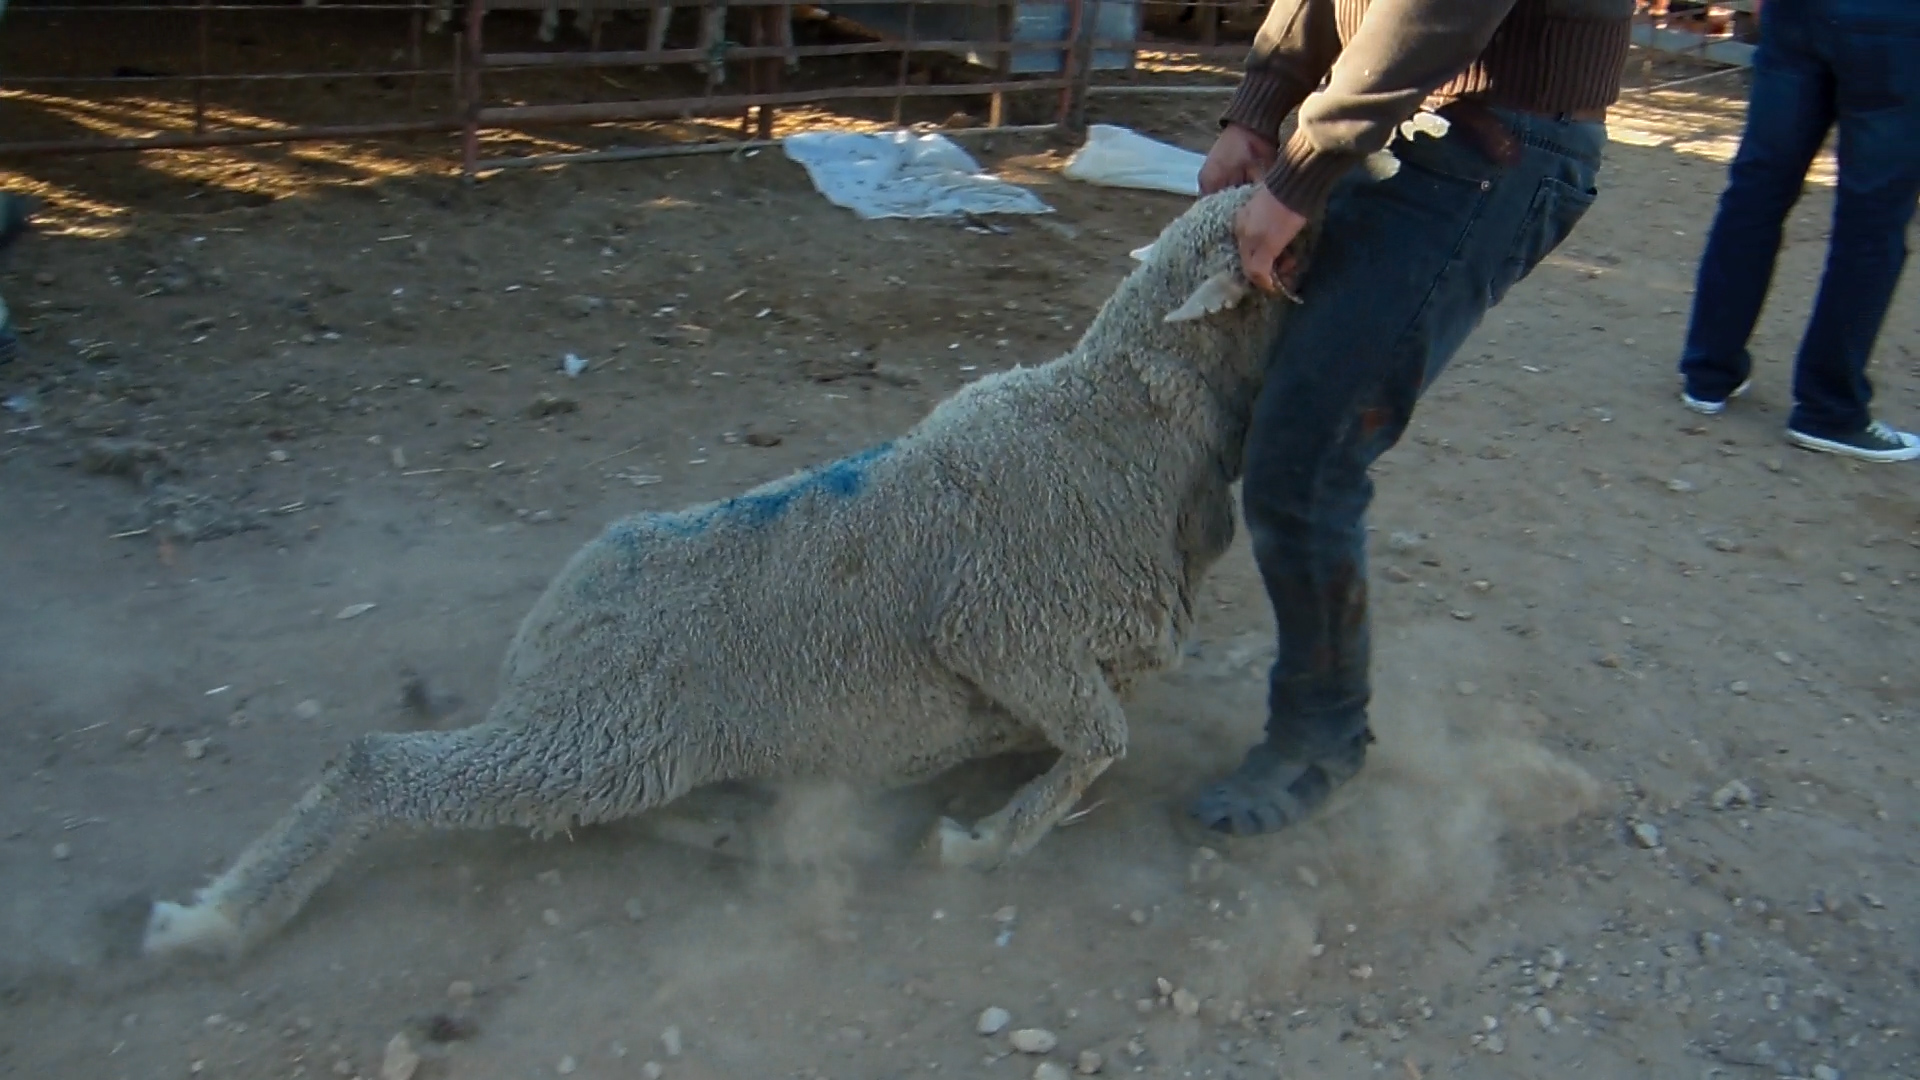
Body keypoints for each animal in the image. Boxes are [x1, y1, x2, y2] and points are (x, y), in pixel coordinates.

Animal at [142, 182, 1313, 957]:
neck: (1120, 425)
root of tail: (553, 621)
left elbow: (1089, 739)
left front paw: (996, 817)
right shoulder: (1003, 626)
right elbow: (1101, 743)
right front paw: (982, 846)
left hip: (629, 744)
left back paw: (723, 826)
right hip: (603, 731)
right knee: (381, 767)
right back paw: (212, 919)